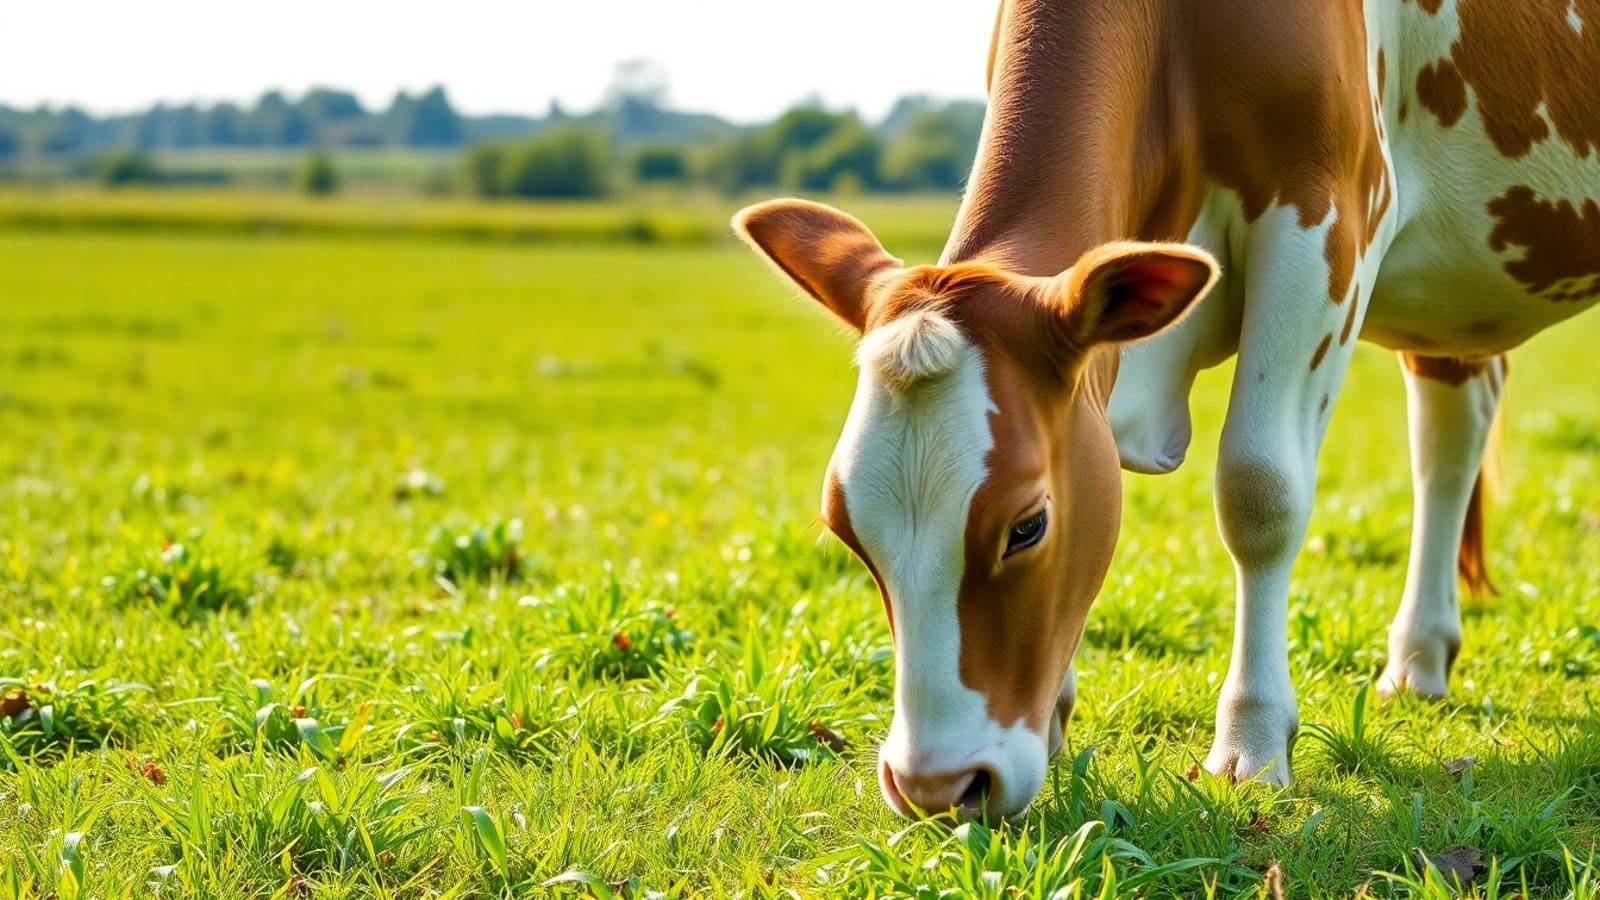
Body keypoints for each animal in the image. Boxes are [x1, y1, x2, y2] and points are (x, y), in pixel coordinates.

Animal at [733, 0, 1600, 819]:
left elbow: (1259, 490)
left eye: (1027, 526)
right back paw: (1419, 658)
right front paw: (1056, 714)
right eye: (846, 529)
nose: (937, 787)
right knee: (1452, 429)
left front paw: (1252, 741)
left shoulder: (1326, 218)